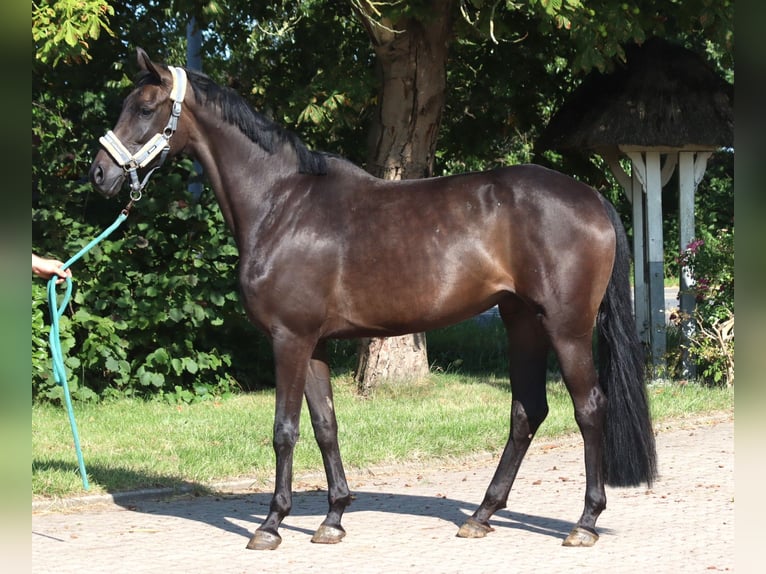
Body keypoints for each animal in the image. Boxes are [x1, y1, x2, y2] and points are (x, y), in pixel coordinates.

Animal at [89, 48, 657, 551]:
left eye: (145, 108)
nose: (99, 173)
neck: (280, 203)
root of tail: (591, 197)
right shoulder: (313, 344)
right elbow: (325, 427)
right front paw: (333, 518)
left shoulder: (288, 340)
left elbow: (284, 430)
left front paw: (271, 525)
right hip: (522, 322)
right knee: (527, 411)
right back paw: (481, 514)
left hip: (566, 328)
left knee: (589, 408)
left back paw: (584, 522)